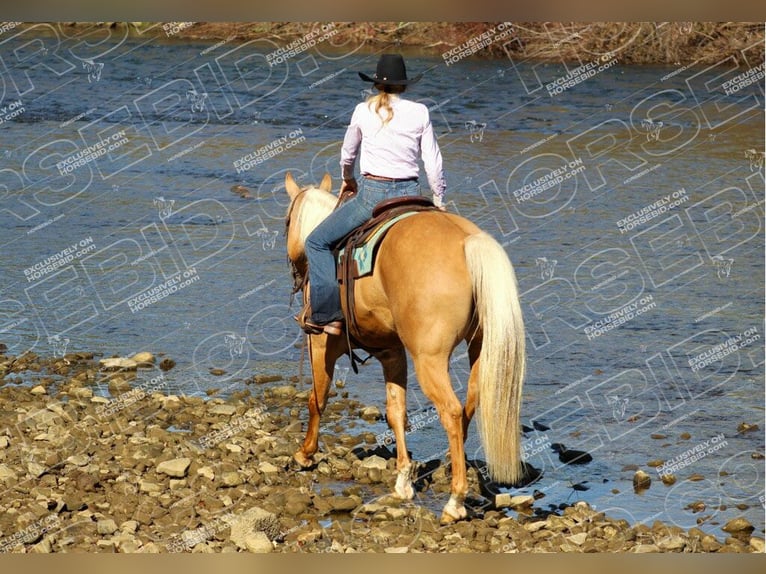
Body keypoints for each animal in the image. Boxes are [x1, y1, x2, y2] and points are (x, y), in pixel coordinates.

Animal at [284, 172, 528, 528]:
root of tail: (469, 243)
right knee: (469, 404)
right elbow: (396, 412)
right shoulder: (392, 353)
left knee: (451, 412)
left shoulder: (322, 343)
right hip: (480, 348)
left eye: (286, 220)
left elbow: (317, 398)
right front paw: (402, 481)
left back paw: (454, 502)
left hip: (429, 359)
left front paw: (305, 453)